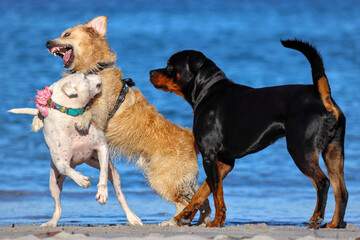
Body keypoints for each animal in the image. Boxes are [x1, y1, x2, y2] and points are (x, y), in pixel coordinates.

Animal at [9, 73, 142, 227]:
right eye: (84, 77)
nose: (97, 74)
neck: (71, 116)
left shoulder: (102, 147)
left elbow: (103, 173)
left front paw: (102, 192)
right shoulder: (60, 162)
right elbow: (67, 169)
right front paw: (82, 180)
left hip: (112, 173)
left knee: (120, 194)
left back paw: (132, 217)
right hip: (53, 183)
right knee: (58, 205)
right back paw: (51, 222)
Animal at [33, 15, 211, 226]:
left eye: (67, 34)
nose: (47, 42)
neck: (96, 67)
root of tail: (190, 137)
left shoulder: (101, 109)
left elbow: (89, 111)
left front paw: (81, 120)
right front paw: (37, 120)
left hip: (163, 178)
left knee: (183, 204)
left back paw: (170, 222)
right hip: (181, 179)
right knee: (201, 200)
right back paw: (204, 222)